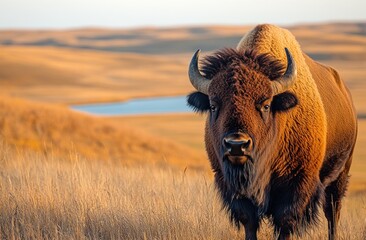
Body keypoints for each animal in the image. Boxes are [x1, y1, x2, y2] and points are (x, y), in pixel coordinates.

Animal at [186, 24, 358, 240]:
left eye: (266, 105)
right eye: (213, 105)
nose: (236, 145)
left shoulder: (296, 185)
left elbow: (285, 222)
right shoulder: (232, 186)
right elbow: (249, 221)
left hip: (342, 171)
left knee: (332, 211)